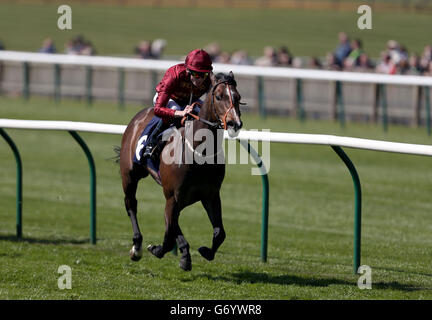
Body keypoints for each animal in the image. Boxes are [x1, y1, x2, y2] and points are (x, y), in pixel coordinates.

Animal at [119, 72, 243, 270]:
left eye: (237, 97)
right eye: (218, 96)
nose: (234, 123)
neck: (200, 154)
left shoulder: (210, 195)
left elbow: (219, 233)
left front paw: (203, 251)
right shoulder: (173, 196)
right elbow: (169, 234)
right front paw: (158, 249)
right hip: (130, 176)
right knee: (131, 204)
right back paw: (137, 247)